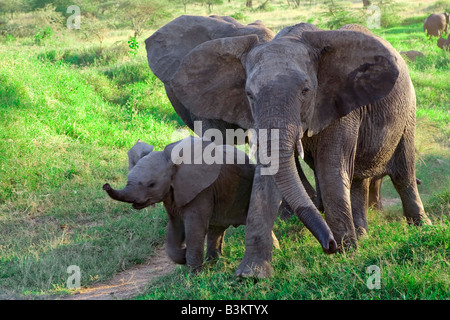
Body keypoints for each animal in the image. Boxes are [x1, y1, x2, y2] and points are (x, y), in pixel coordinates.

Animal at [104, 136, 280, 272]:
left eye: (152, 184)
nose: (105, 185)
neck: (172, 162)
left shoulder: (202, 191)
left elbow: (195, 228)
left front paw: (194, 274)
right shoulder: (173, 194)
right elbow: (175, 227)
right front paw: (183, 257)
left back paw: (276, 252)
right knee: (216, 229)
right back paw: (213, 263)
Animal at [146, 15, 430, 276]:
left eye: (305, 91)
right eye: (249, 94)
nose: (329, 245)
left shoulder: (339, 102)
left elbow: (331, 169)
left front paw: (347, 254)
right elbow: (267, 176)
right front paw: (251, 274)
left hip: (409, 108)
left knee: (402, 172)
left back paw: (421, 227)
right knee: (358, 178)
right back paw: (362, 235)